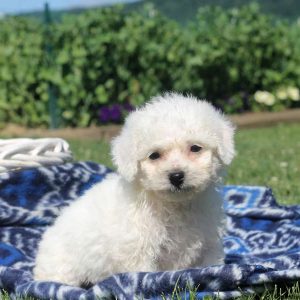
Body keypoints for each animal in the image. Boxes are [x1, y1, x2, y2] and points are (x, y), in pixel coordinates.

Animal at [32, 93, 234, 286]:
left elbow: (210, 264)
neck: (175, 206)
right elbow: (144, 276)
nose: (176, 176)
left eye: (195, 148)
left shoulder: (209, 242)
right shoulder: (139, 251)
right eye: (154, 155)